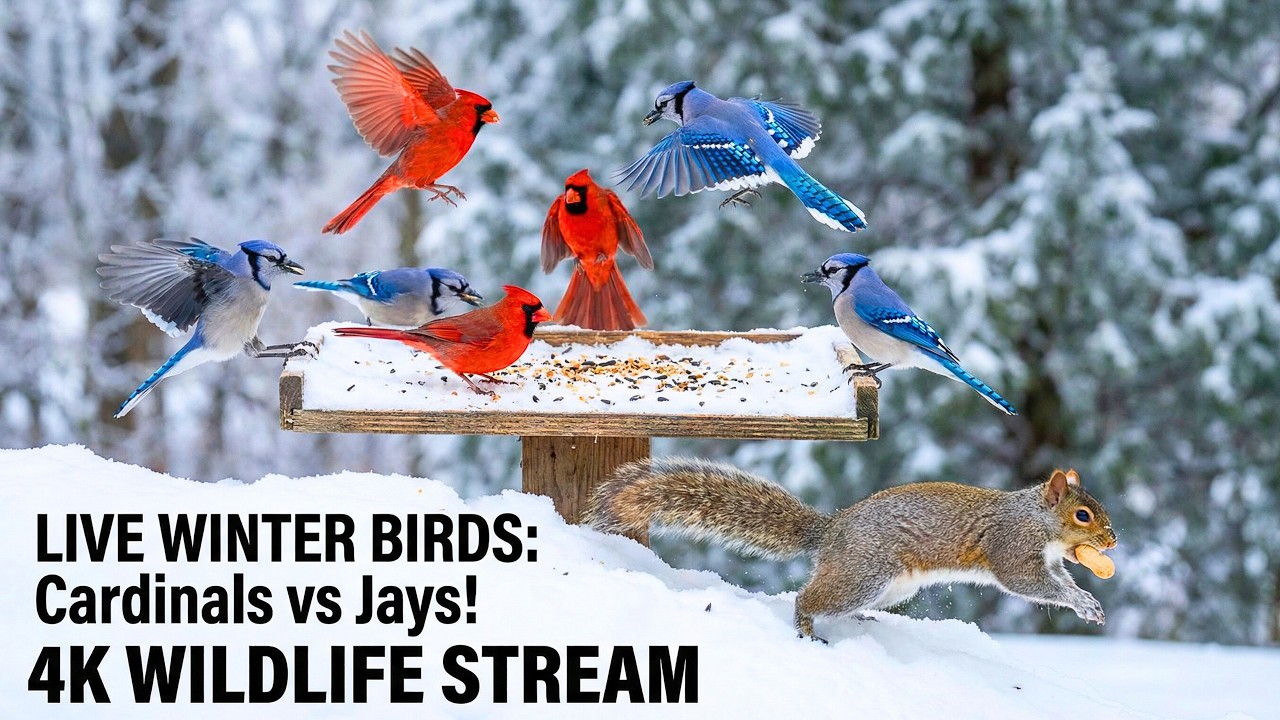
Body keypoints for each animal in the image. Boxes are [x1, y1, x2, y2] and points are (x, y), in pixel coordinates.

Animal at [585, 458, 1117, 641]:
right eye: (1083, 515)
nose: (1114, 539)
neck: (1037, 519)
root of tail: (831, 532)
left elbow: (1057, 579)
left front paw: (1087, 602)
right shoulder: (1011, 545)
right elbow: (1026, 582)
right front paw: (1079, 600)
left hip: (886, 587)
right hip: (865, 573)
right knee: (808, 598)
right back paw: (805, 627)